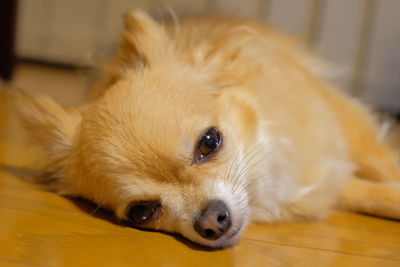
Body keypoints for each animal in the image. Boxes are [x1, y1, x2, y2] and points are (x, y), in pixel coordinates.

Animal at [13, 11, 400, 249]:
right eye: (142, 213)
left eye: (210, 142)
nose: (213, 221)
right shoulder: (328, 182)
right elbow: (371, 195)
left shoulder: (342, 130)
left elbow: (383, 163)